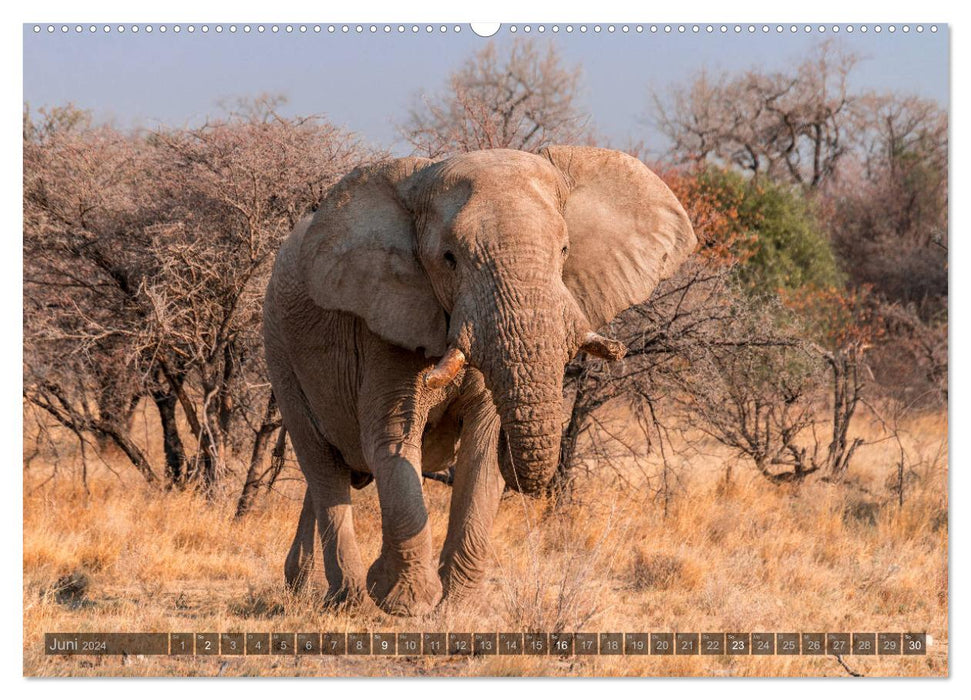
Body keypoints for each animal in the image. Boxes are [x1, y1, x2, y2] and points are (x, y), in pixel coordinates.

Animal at [262, 145, 696, 616]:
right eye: (449, 259)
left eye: (564, 250)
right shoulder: (384, 321)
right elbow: (393, 439)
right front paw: (406, 605)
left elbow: (483, 448)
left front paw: (458, 605)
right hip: (280, 350)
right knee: (321, 463)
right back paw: (350, 602)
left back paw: (302, 587)